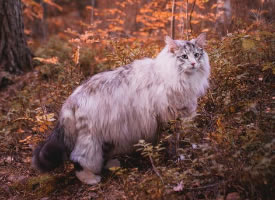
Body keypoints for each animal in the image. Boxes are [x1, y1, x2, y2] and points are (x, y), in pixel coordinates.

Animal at [32, 32, 210, 184]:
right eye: (184, 56)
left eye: (197, 55)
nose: (193, 63)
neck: (180, 79)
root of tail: (71, 99)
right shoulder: (168, 116)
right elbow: (172, 140)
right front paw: (175, 156)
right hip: (90, 138)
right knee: (78, 159)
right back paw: (90, 179)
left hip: (109, 132)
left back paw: (113, 164)